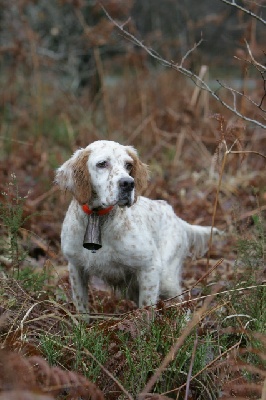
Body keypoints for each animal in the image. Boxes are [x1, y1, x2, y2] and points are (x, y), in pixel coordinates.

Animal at [55, 141, 218, 318]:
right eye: (102, 164)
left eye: (128, 165)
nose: (128, 183)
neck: (98, 218)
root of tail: (177, 218)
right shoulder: (76, 268)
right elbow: (81, 309)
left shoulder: (150, 266)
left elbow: (146, 309)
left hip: (166, 278)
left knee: (182, 302)